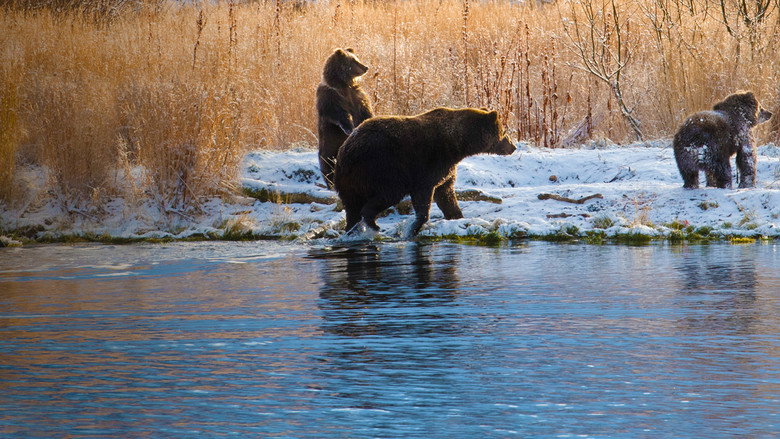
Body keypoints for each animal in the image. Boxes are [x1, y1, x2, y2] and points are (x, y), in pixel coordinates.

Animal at [316, 48, 374, 189]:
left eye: (357, 58)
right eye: (353, 61)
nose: (366, 67)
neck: (344, 84)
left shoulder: (357, 96)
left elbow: (365, 110)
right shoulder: (330, 96)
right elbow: (338, 113)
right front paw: (349, 127)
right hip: (329, 146)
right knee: (329, 164)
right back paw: (332, 183)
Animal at [334, 107, 516, 237]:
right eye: (504, 131)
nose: (513, 147)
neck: (458, 145)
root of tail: (345, 150)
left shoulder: (446, 169)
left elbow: (446, 194)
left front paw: (457, 217)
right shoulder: (427, 163)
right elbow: (424, 194)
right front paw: (414, 227)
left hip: (349, 181)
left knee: (352, 207)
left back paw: (352, 230)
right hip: (381, 167)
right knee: (388, 194)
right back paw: (373, 224)